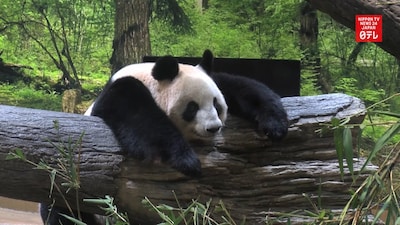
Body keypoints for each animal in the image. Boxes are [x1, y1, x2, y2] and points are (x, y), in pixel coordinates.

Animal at [39, 49, 288, 225]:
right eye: (192, 108)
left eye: (216, 104)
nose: (214, 128)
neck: (150, 79)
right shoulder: (121, 94)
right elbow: (142, 118)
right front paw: (186, 160)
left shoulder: (216, 81)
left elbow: (241, 86)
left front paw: (275, 124)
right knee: (63, 209)